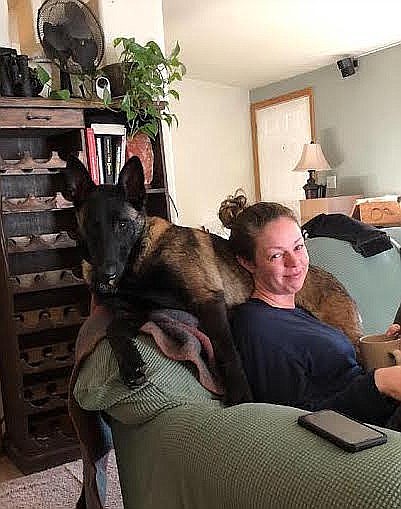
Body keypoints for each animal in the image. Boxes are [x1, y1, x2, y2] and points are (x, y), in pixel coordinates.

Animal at [61, 155, 360, 404]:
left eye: (122, 224)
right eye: (91, 227)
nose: (106, 275)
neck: (138, 263)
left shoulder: (207, 300)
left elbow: (227, 353)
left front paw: (241, 396)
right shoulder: (138, 311)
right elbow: (114, 329)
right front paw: (130, 364)